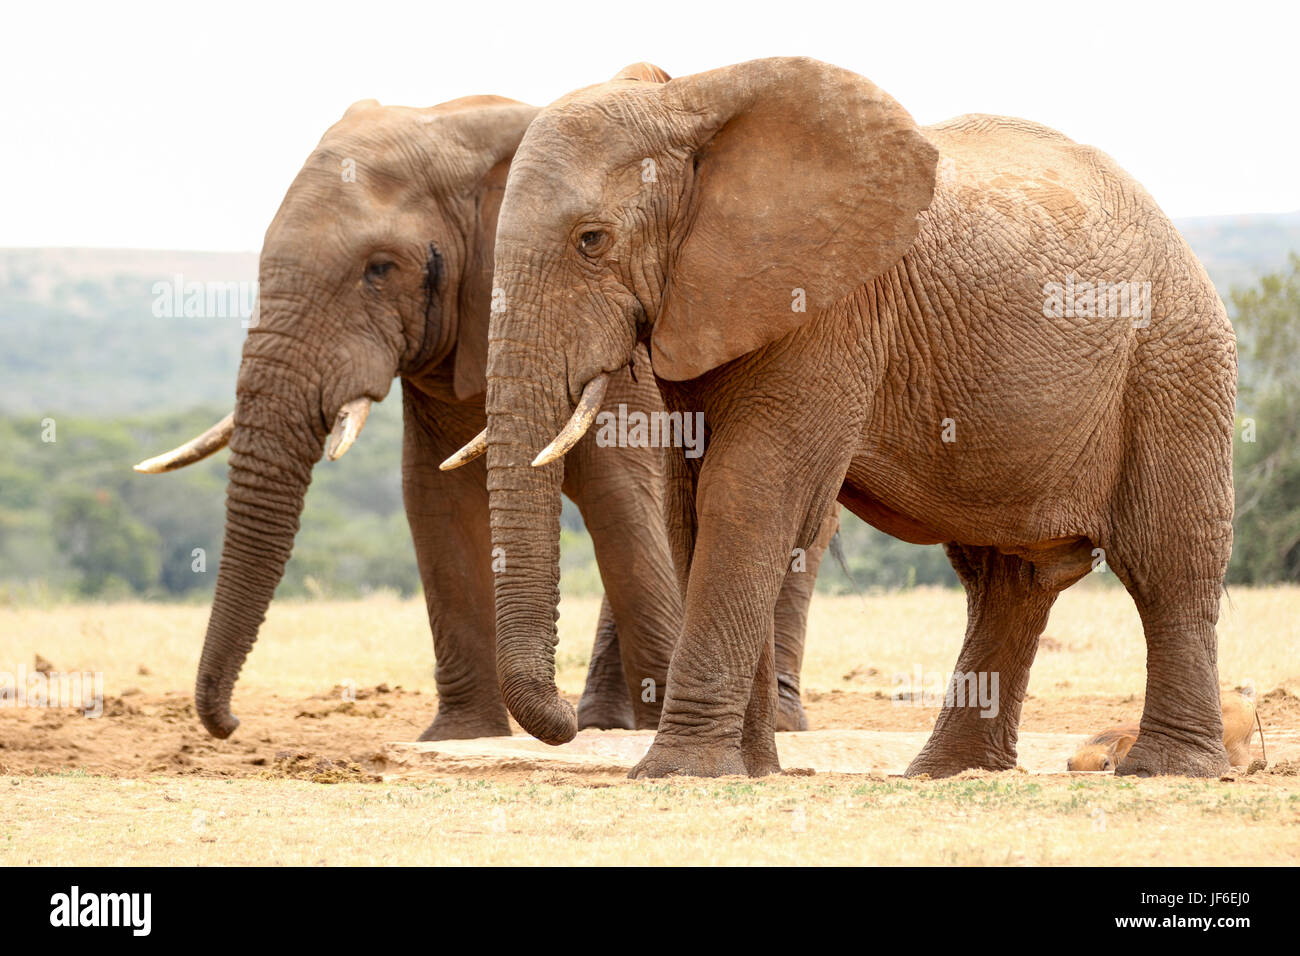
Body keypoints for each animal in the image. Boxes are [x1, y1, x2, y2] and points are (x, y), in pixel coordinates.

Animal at [137, 91, 826, 738]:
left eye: (379, 269)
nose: (231, 723)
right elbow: (431, 492)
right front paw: (461, 736)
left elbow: (621, 493)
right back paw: (605, 721)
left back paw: (763, 723)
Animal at [449, 57, 1237, 780]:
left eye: (592, 241)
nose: (565, 723)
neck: (693, 100)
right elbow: (692, 510)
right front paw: (751, 772)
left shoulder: (827, 308)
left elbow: (748, 495)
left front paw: (678, 772)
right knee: (1006, 580)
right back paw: (946, 773)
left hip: (1175, 361)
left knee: (1169, 563)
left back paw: (1168, 770)